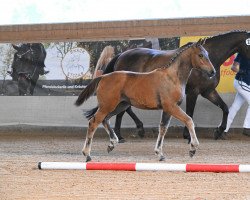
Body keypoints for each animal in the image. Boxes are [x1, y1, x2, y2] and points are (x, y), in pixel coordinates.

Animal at [102, 30, 250, 142]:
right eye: (201, 55)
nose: (211, 72)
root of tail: (121, 55)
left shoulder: (208, 91)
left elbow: (225, 108)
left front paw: (219, 131)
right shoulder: (193, 92)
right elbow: (190, 112)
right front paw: (188, 136)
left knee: (125, 108)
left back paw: (135, 130)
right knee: (122, 109)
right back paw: (122, 134)